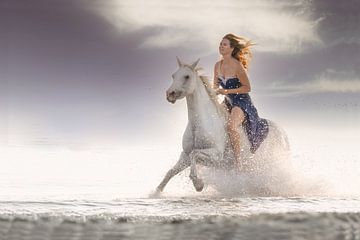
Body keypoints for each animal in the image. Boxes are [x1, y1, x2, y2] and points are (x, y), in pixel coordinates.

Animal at [155, 56, 290, 195]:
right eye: (173, 75)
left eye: (187, 76)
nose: (170, 94)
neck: (198, 125)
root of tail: (283, 133)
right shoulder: (184, 156)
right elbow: (171, 172)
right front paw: (156, 193)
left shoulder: (216, 155)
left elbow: (195, 154)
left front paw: (198, 184)